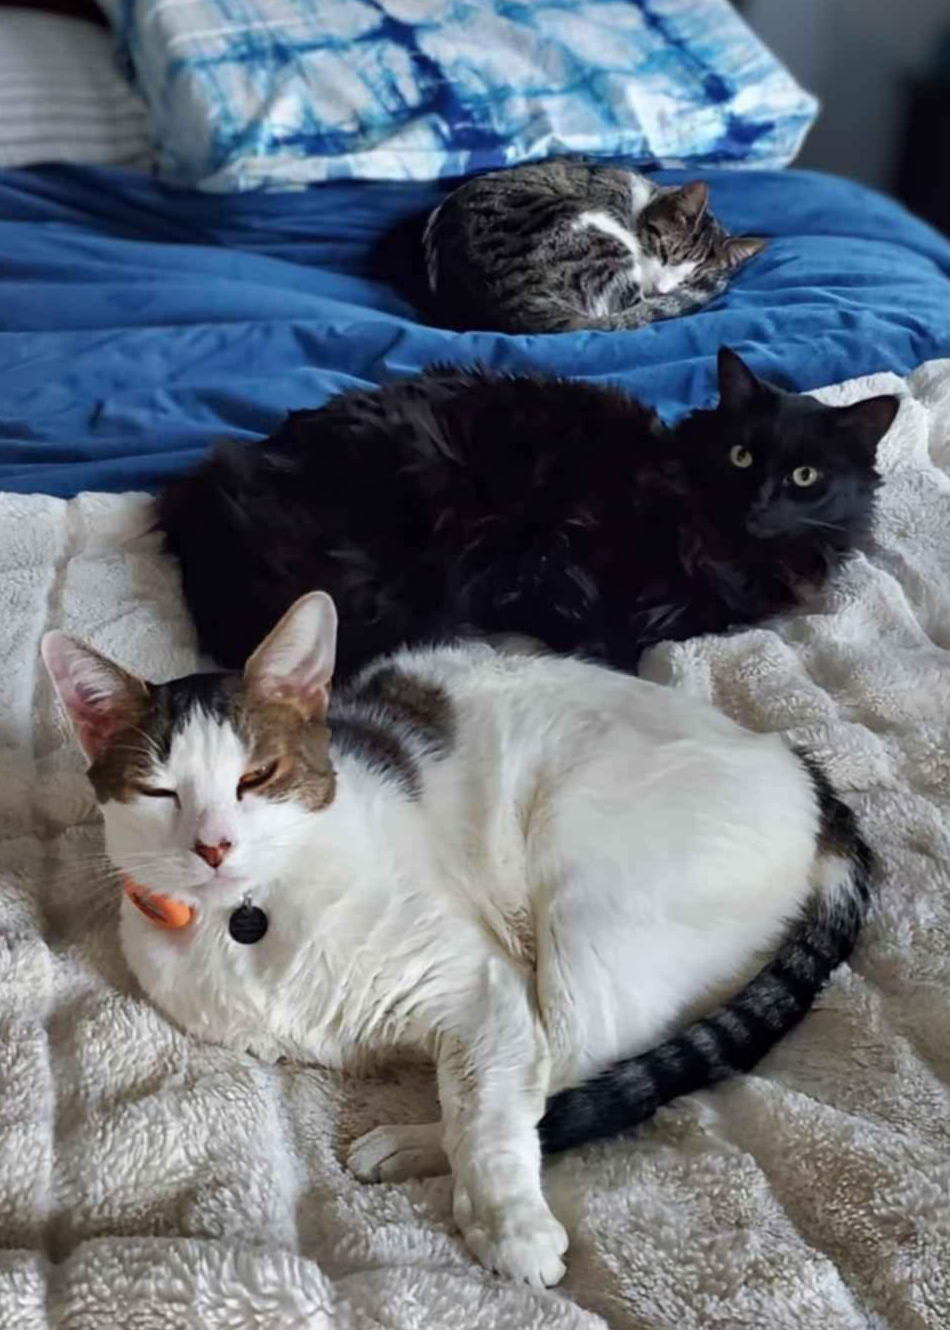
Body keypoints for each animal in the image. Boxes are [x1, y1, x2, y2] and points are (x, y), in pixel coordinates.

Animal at [44, 595, 872, 1287]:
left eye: (258, 776)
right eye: (158, 792)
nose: (213, 846)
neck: (252, 922)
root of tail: (798, 765)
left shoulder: (481, 990)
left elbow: (487, 1108)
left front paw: (510, 1227)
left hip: (586, 913)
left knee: (561, 1072)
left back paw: (410, 1143)